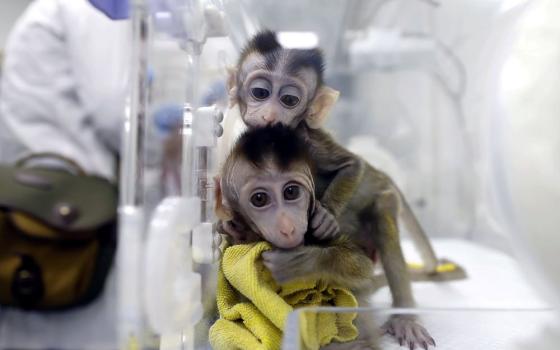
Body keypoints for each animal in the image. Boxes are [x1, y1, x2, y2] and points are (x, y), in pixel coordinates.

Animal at [214, 126, 380, 350]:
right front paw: (238, 231)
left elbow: (363, 268)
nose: (287, 227)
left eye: (291, 192)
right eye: (259, 199)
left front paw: (301, 262)